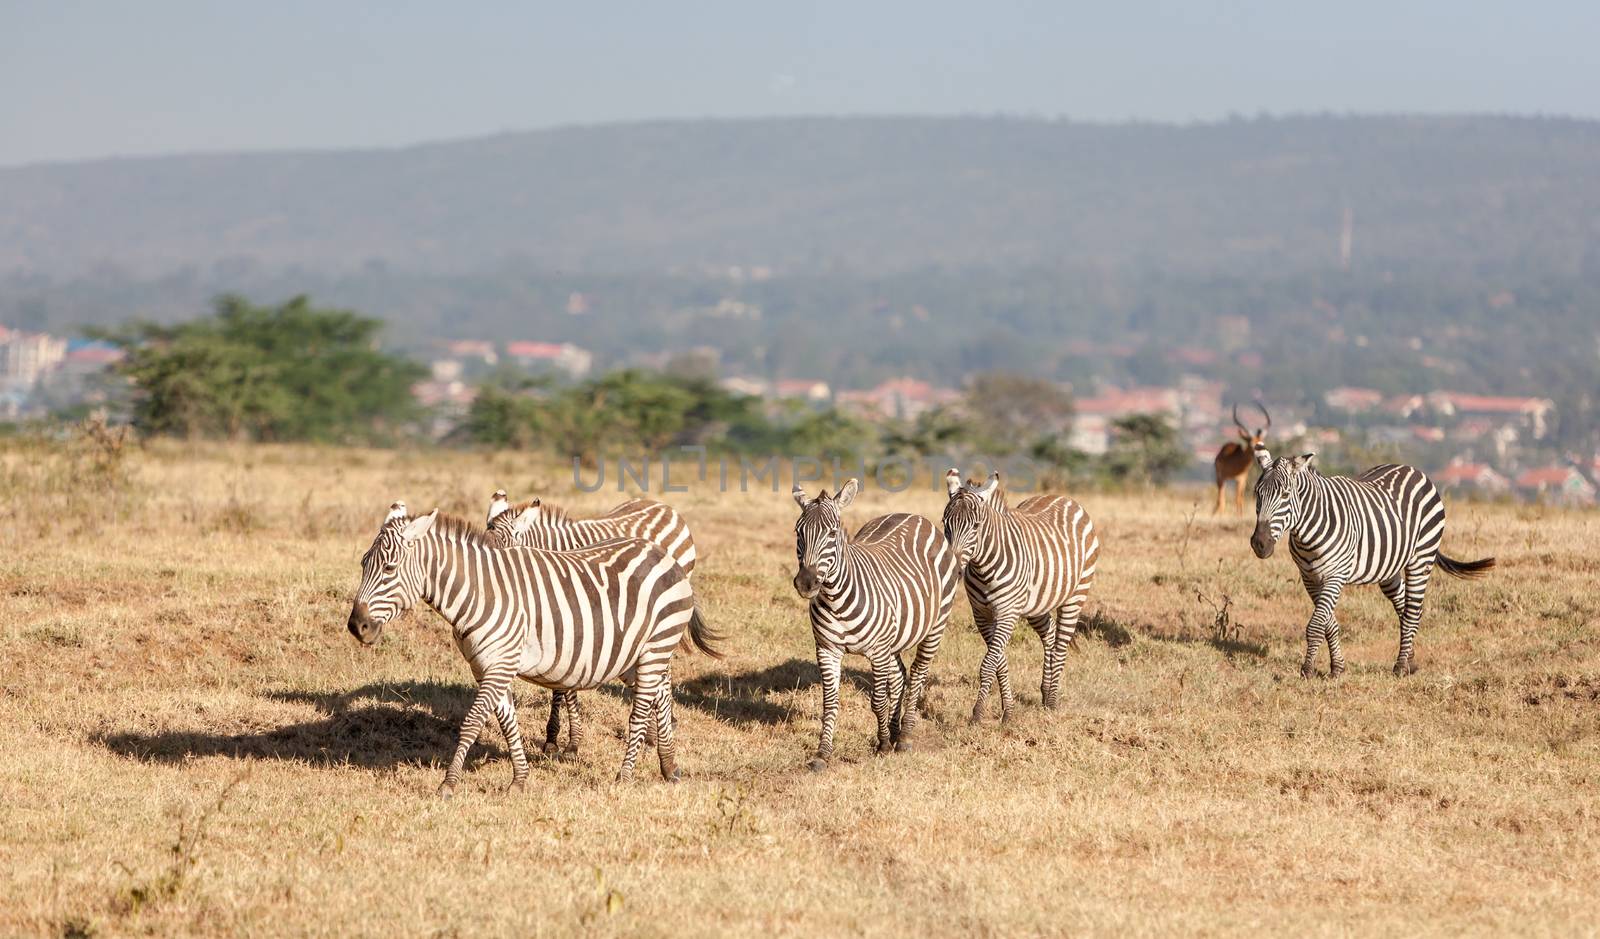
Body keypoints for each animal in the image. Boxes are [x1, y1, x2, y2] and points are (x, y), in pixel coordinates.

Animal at [793, 476, 953, 771]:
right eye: (799, 532)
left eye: (832, 533)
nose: (806, 583)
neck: (836, 598)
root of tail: (911, 515)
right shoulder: (827, 650)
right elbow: (829, 703)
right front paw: (822, 754)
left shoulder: (877, 651)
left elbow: (878, 701)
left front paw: (883, 745)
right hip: (895, 636)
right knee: (900, 675)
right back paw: (895, 730)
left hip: (935, 626)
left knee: (917, 674)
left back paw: (904, 737)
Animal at [940, 470, 1094, 726]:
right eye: (945, 523)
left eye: (976, 526)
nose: (952, 570)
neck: (984, 566)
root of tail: (1064, 498)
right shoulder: (981, 615)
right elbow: (999, 662)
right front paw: (1008, 711)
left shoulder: (1007, 613)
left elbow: (988, 664)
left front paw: (977, 714)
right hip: (1037, 604)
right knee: (1050, 635)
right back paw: (1045, 692)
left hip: (1076, 594)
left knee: (1061, 644)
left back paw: (1053, 702)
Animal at [1241, 447, 1491, 675]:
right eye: (1257, 493)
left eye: (1285, 495)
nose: (1259, 544)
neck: (1307, 533)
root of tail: (1412, 469)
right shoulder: (1310, 577)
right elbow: (1328, 624)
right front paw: (1337, 668)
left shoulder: (1336, 575)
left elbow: (1316, 625)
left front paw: (1308, 670)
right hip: (1389, 569)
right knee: (1403, 608)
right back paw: (1410, 660)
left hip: (1421, 558)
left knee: (1412, 611)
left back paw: (1400, 667)